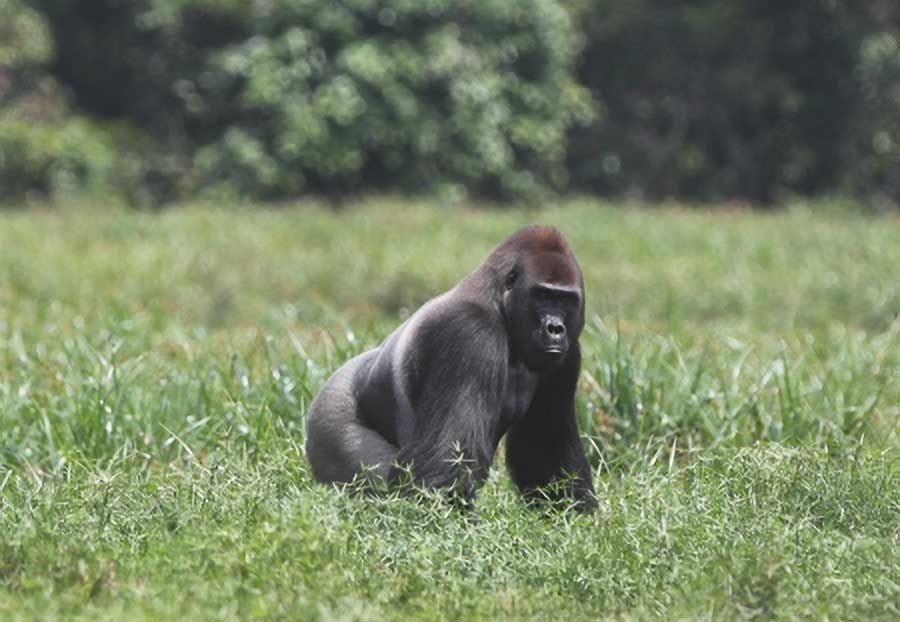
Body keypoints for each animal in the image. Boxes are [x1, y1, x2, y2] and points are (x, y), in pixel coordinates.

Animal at [308, 225, 596, 512]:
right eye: (543, 295)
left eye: (565, 300)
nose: (555, 328)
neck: (499, 305)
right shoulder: (469, 332)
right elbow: (445, 463)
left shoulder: (568, 355)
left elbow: (546, 451)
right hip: (330, 419)